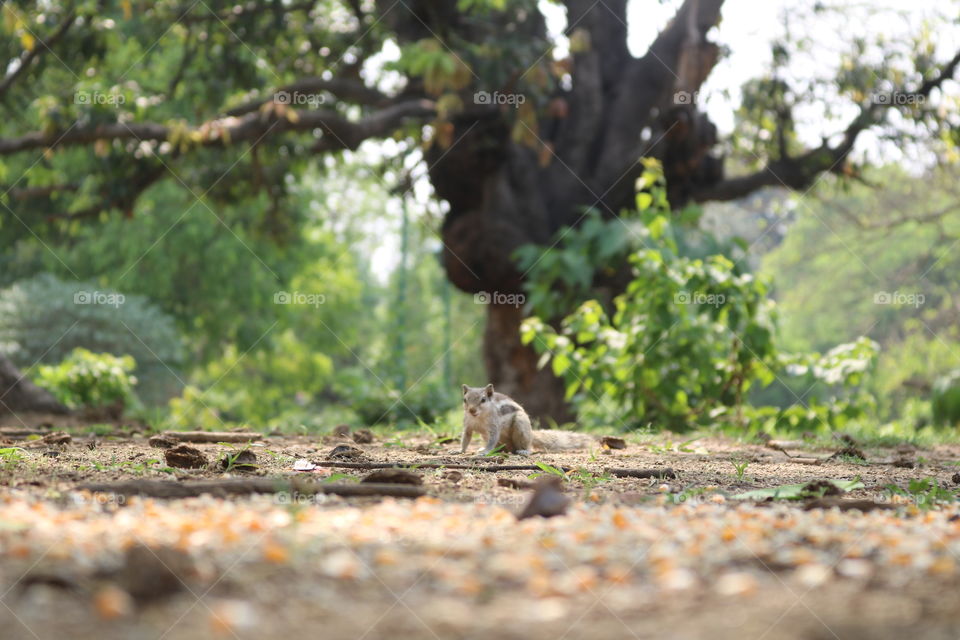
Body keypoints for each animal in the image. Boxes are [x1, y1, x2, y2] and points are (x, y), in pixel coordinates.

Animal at [460, 384, 595, 455]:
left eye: (483, 400)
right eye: (465, 400)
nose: (471, 410)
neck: (478, 418)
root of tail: (531, 435)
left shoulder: (494, 425)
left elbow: (492, 439)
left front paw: (486, 451)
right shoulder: (468, 425)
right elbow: (466, 438)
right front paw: (460, 451)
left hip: (521, 425)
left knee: (527, 447)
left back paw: (524, 451)